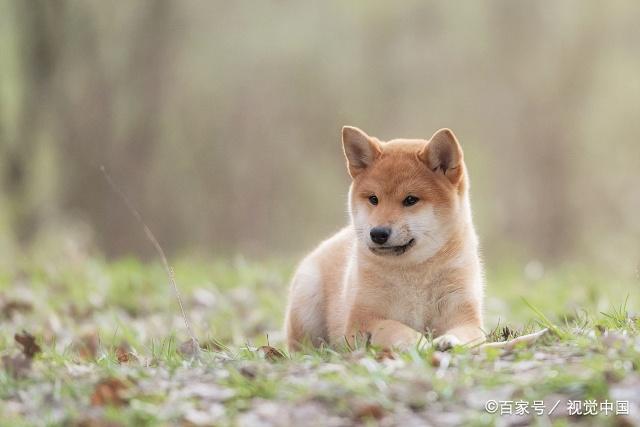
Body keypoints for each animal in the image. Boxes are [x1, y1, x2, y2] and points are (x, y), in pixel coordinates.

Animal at [284, 126, 484, 352]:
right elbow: (396, 328)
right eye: (373, 199)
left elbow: (464, 333)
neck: (413, 272)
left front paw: (448, 341)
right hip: (308, 303)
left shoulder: (465, 317)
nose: (378, 233)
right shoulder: (362, 321)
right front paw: (420, 344)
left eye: (410, 200)